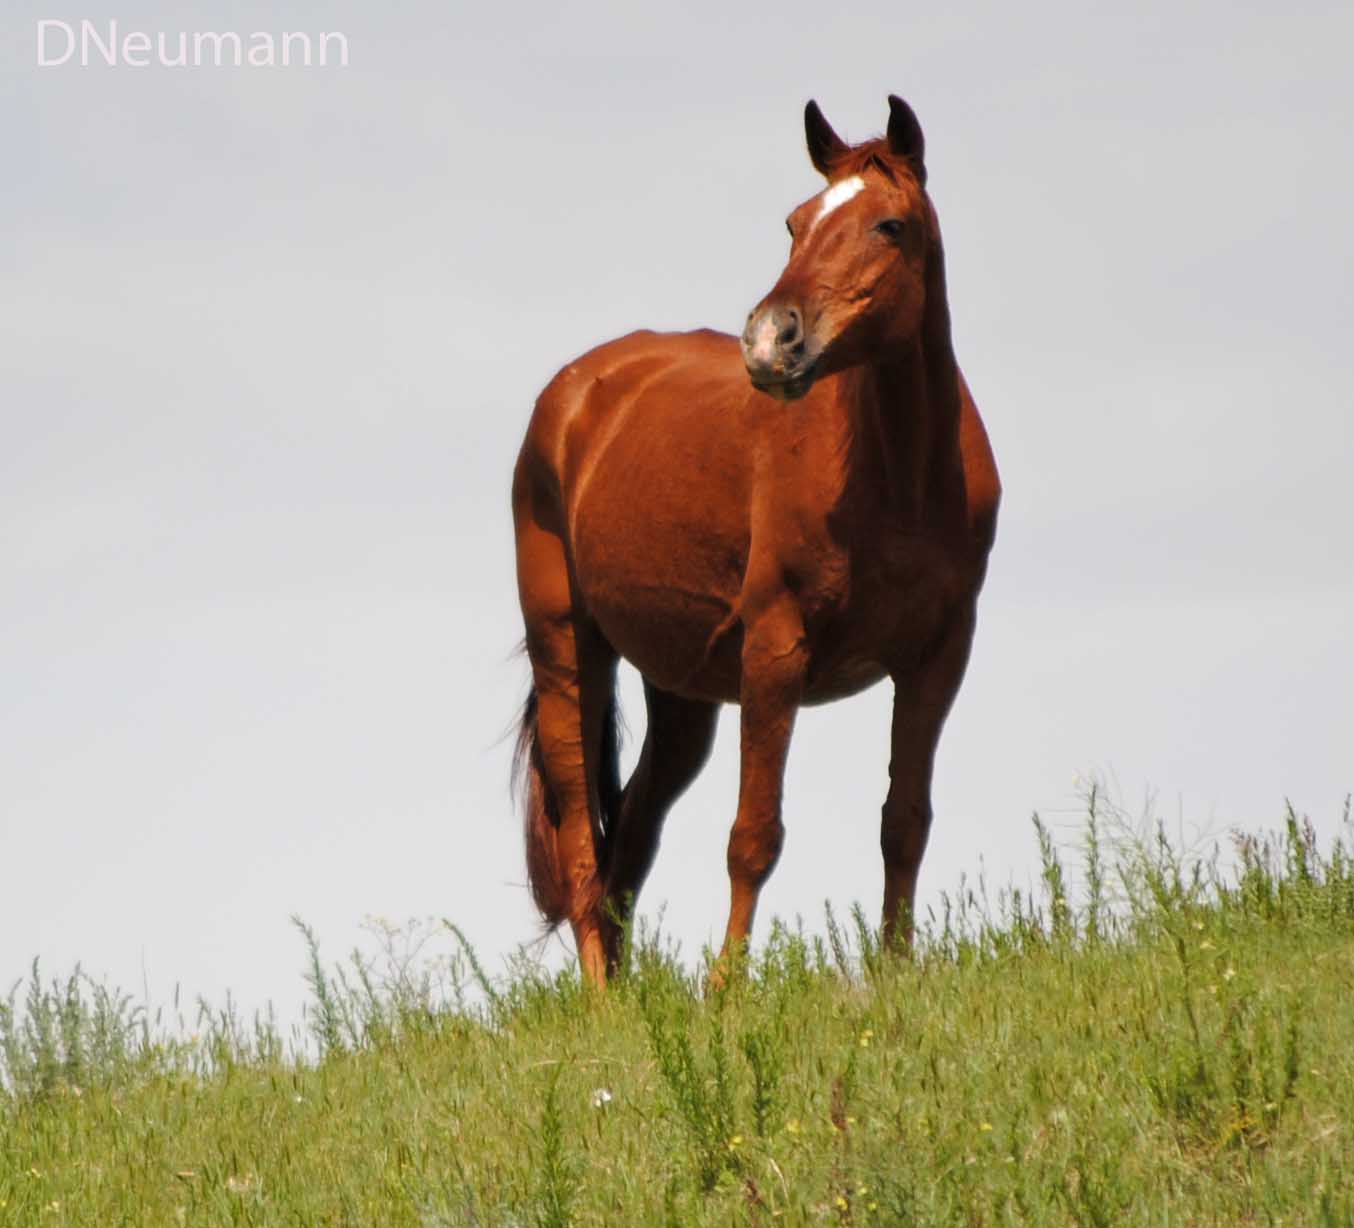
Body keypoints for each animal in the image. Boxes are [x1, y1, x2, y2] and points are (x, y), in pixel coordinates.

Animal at [512, 95, 1000, 986]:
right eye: (796, 222)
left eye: (889, 225)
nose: (772, 342)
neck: (899, 483)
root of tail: (575, 394)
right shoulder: (776, 651)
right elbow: (754, 835)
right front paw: (727, 988)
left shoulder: (939, 656)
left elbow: (905, 819)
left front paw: (895, 970)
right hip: (567, 648)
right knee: (577, 834)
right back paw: (600, 997)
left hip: (681, 696)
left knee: (627, 840)